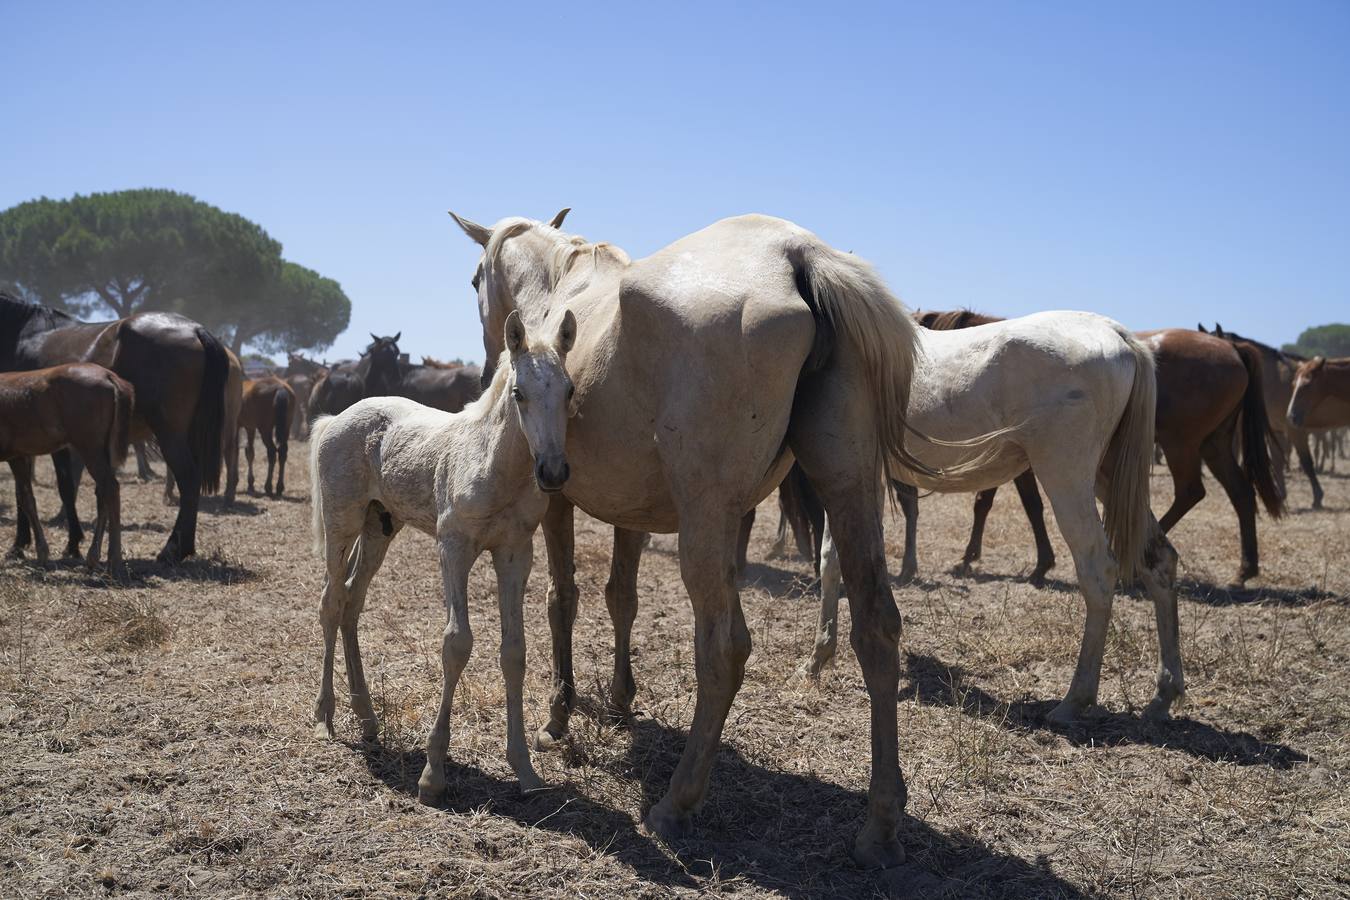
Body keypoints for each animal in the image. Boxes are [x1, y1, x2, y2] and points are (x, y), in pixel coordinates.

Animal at [0, 364, 135, 580]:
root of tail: (110, 376)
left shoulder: (15, 456)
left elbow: (25, 498)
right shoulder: (19, 455)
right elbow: (26, 498)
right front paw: (41, 554)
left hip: (89, 446)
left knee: (111, 488)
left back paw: (114, 564)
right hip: (105, 449)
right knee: (102, 493)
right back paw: (94, 558)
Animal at [309, 307, 577, 804]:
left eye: (568, 391)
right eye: (519, 393)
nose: (553, 471)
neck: (495, 466)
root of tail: (337, 417)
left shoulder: (515, 553)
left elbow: (514, 651)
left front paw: (524, 767)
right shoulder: (453, 548)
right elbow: (456, 644)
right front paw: (432, 774)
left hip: (379, 527)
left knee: (352, 601)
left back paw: (367, 717)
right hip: (342, 525)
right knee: (331, 603)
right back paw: (325, 717)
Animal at [453, 209, 939, 863]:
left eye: (475, 278)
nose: (488, 370)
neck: (559, 286)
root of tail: (798, 255)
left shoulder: (555, 498)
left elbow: (563, 600)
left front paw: (559, 712)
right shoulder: (630, 511)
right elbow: (621, 598)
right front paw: (621, 699)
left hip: (708, 522)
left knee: (725, 648)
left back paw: (676, 802)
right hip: (849, 491)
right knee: (877, 628)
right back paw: (881, 823)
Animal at [804, 313, 1188, 723]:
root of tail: (1116, 333)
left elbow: (833, 560)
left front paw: (817, 659)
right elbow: (833, 560)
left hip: (1066, 478)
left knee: (1099, 573)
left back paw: (1074, 700)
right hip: (1109, 477)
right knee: (1159, 561)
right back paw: (1163, 694)